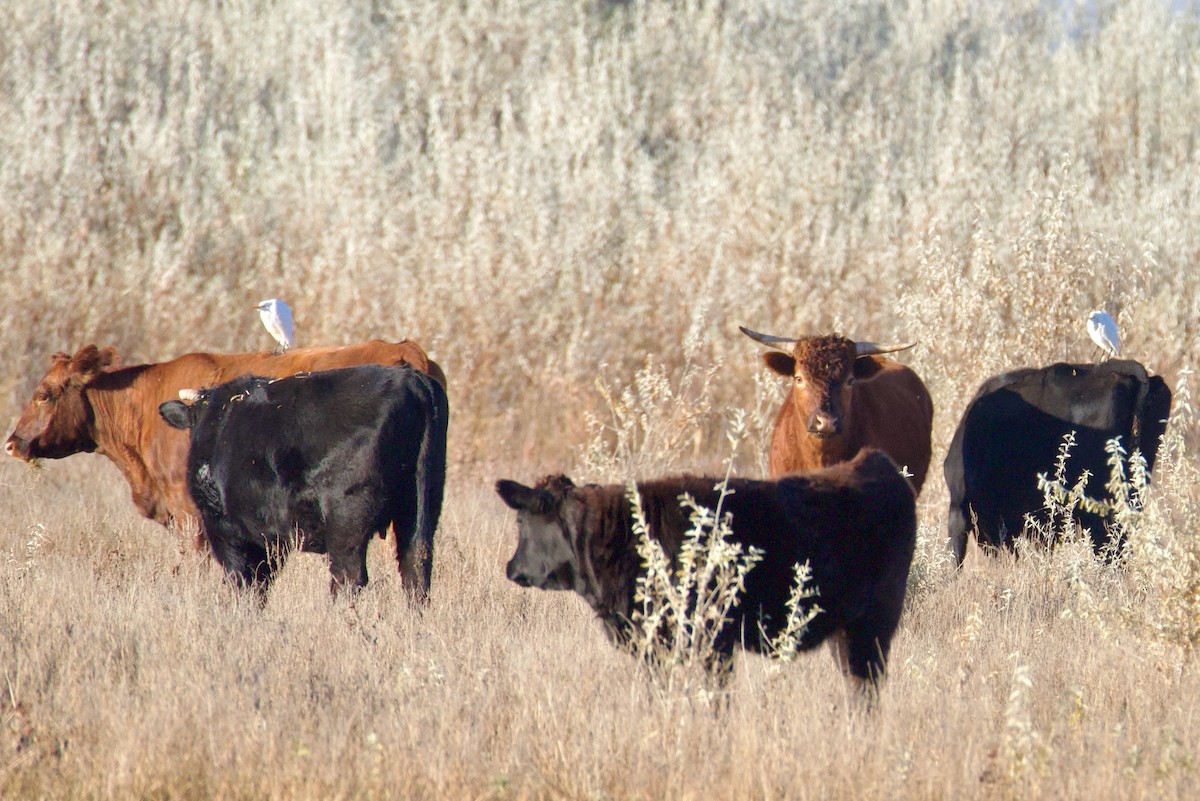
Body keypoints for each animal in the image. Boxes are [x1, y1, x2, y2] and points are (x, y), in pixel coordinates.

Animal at [158, 364, 448, 599]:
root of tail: (410, 379)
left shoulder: (225, 529)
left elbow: (245, 582)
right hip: (420, 505)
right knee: (416, 569)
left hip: (347, 517)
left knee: (348, 577)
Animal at [495, 449, 917, 696]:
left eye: (521, 520)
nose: (512, 568)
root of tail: (875, 462)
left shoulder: (712, 641)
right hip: (845, 635)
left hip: (872, 628)